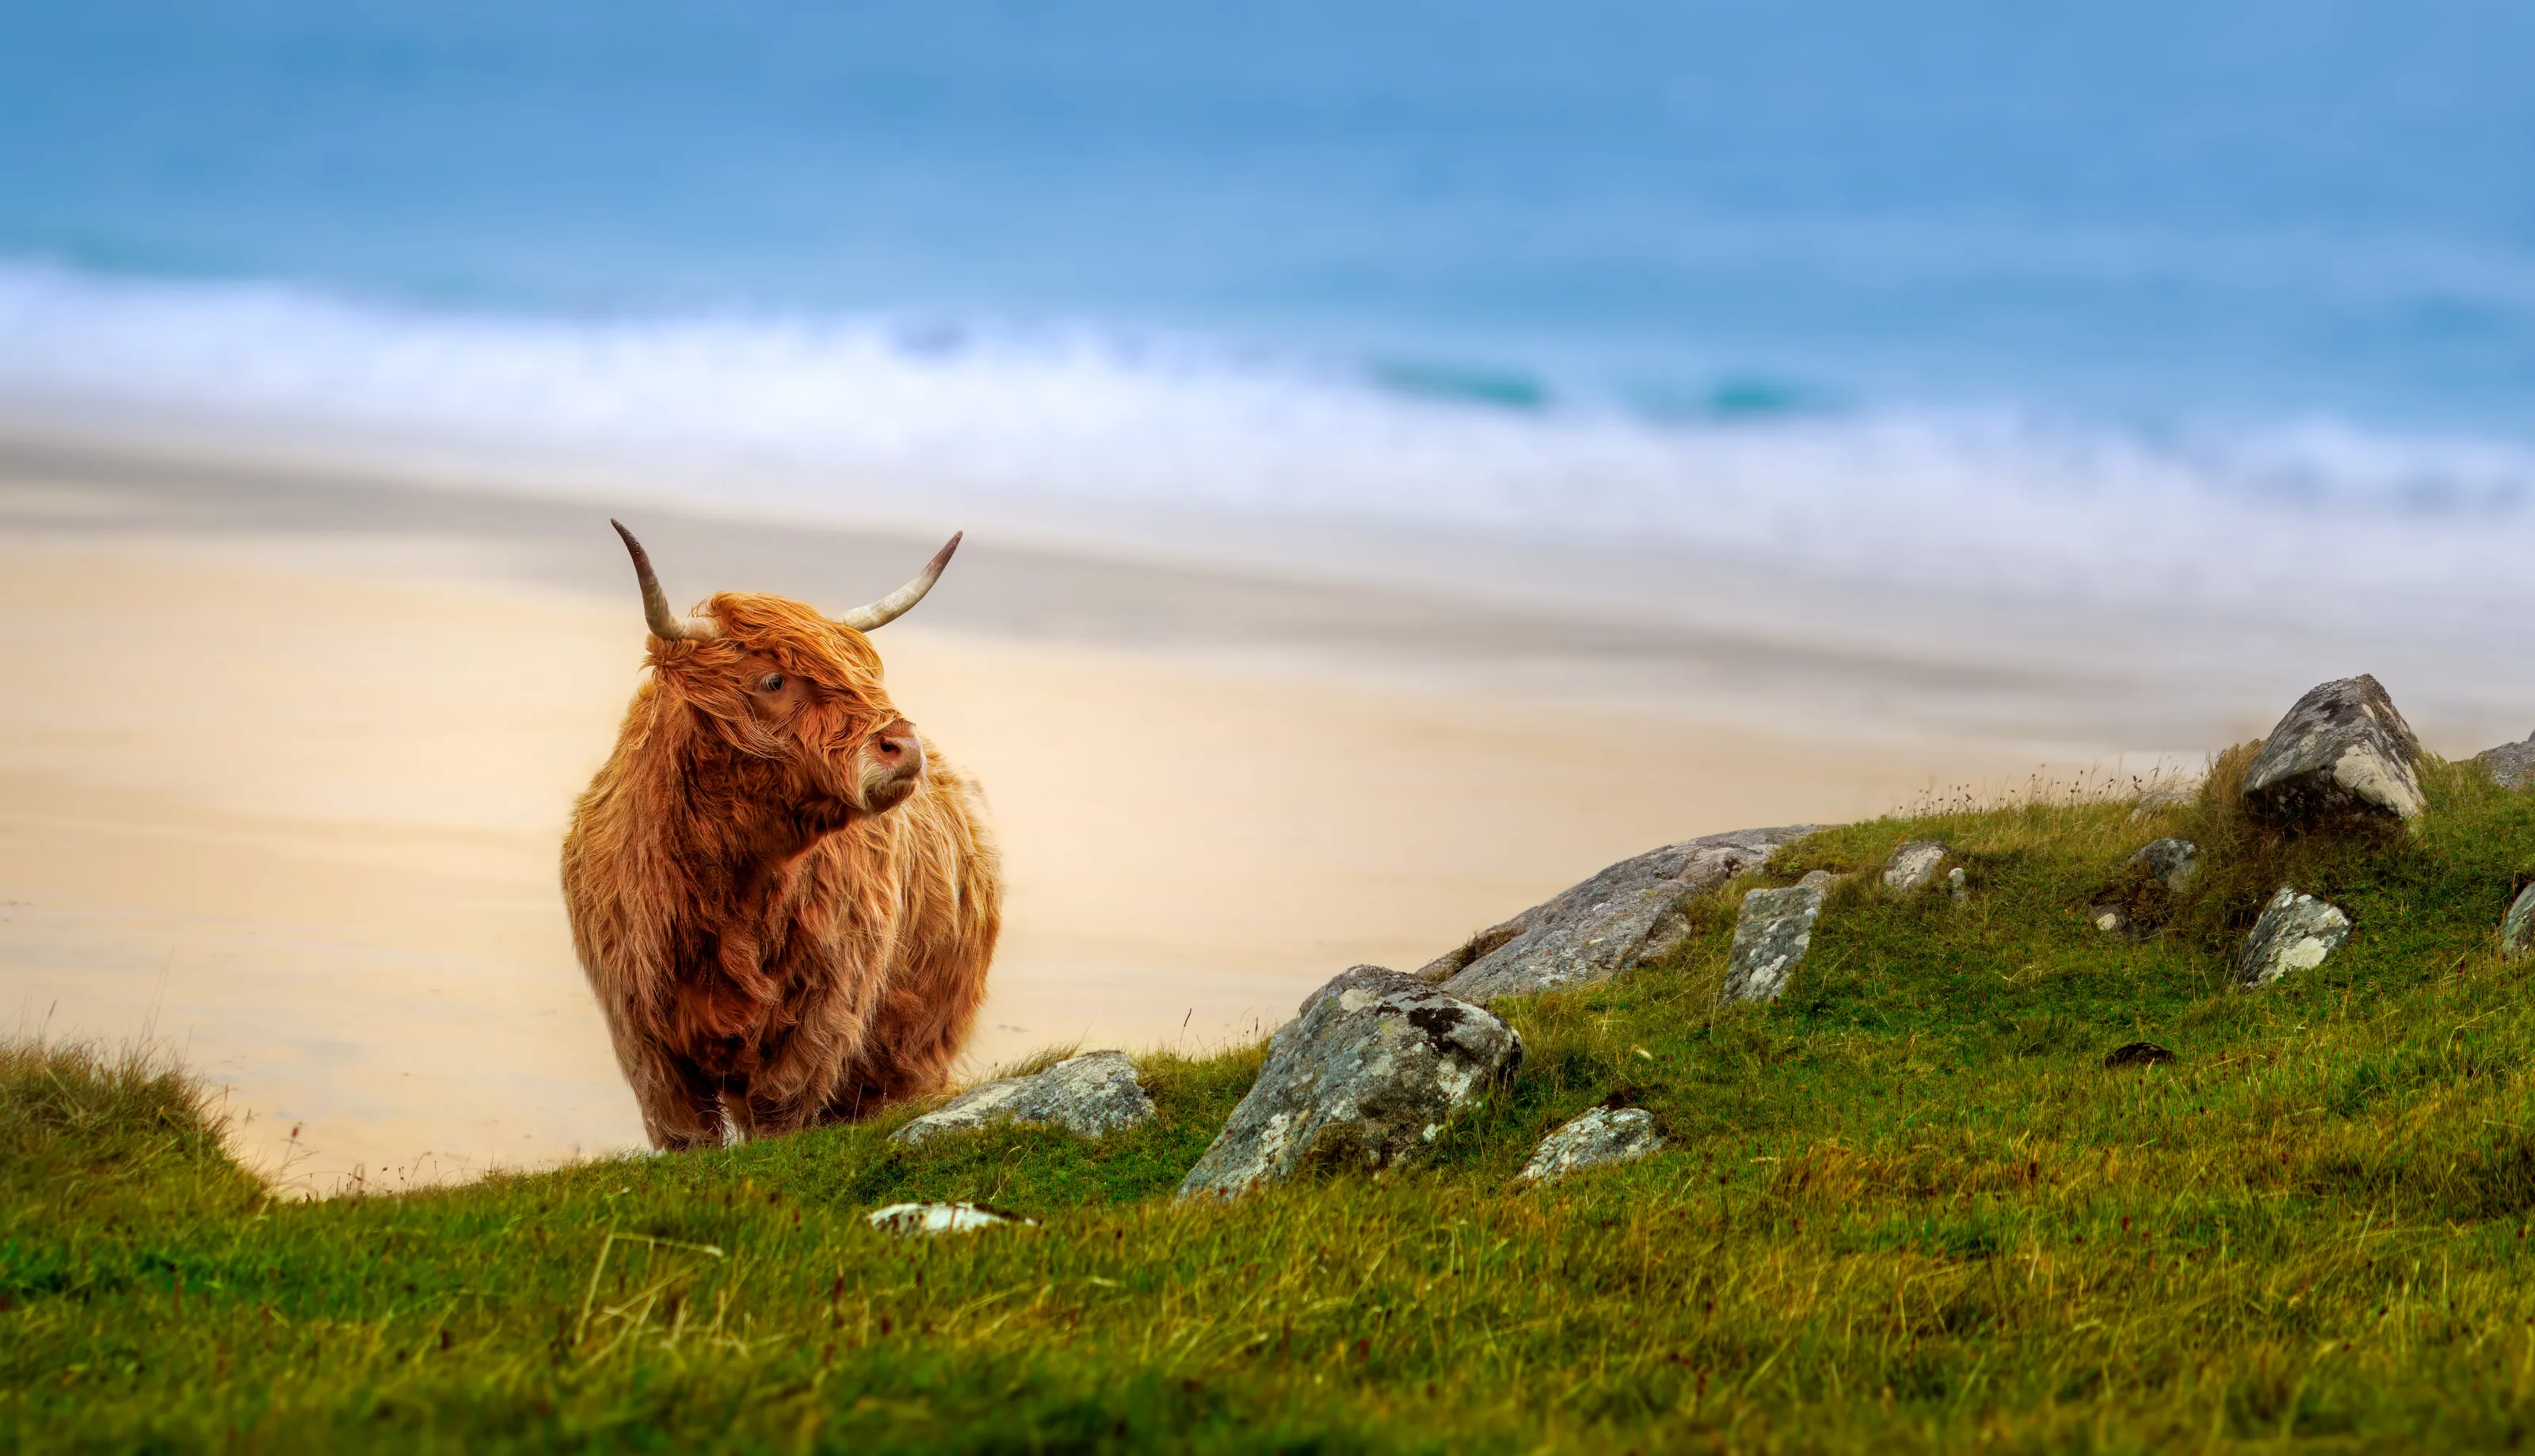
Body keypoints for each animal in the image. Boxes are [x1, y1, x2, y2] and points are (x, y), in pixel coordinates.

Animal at [561, 521, 1002, 1150]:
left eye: (866, 673)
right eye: (773, 679)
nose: (902, 746)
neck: (729, 889)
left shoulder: (819, 1018)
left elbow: (781, 1113)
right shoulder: (644, 1038)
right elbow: (687, 1134)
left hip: (914, 1046)